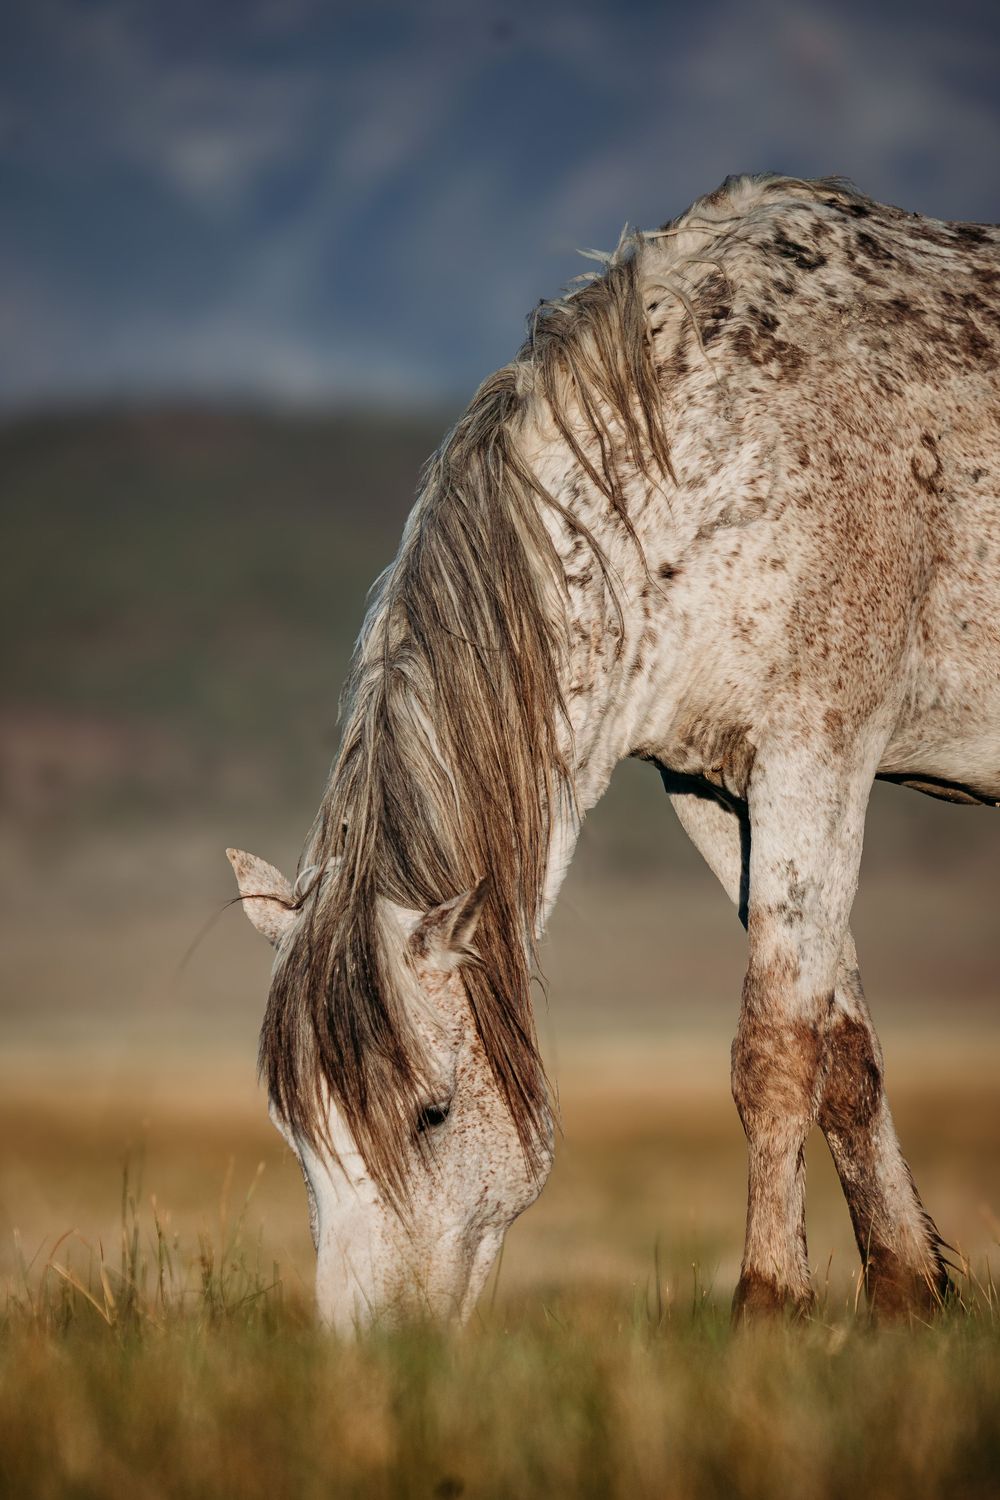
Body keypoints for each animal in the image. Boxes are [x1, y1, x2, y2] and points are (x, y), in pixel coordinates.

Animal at [228, 173, 1000, 1330]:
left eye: (432, 1114)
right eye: (295, 1128)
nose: (377, 1353)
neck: (707, 450)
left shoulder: (818, 756)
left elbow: (777, 1048)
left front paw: (768, 1305)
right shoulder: (716, 789)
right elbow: (844, 1045)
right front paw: (906, 1295)